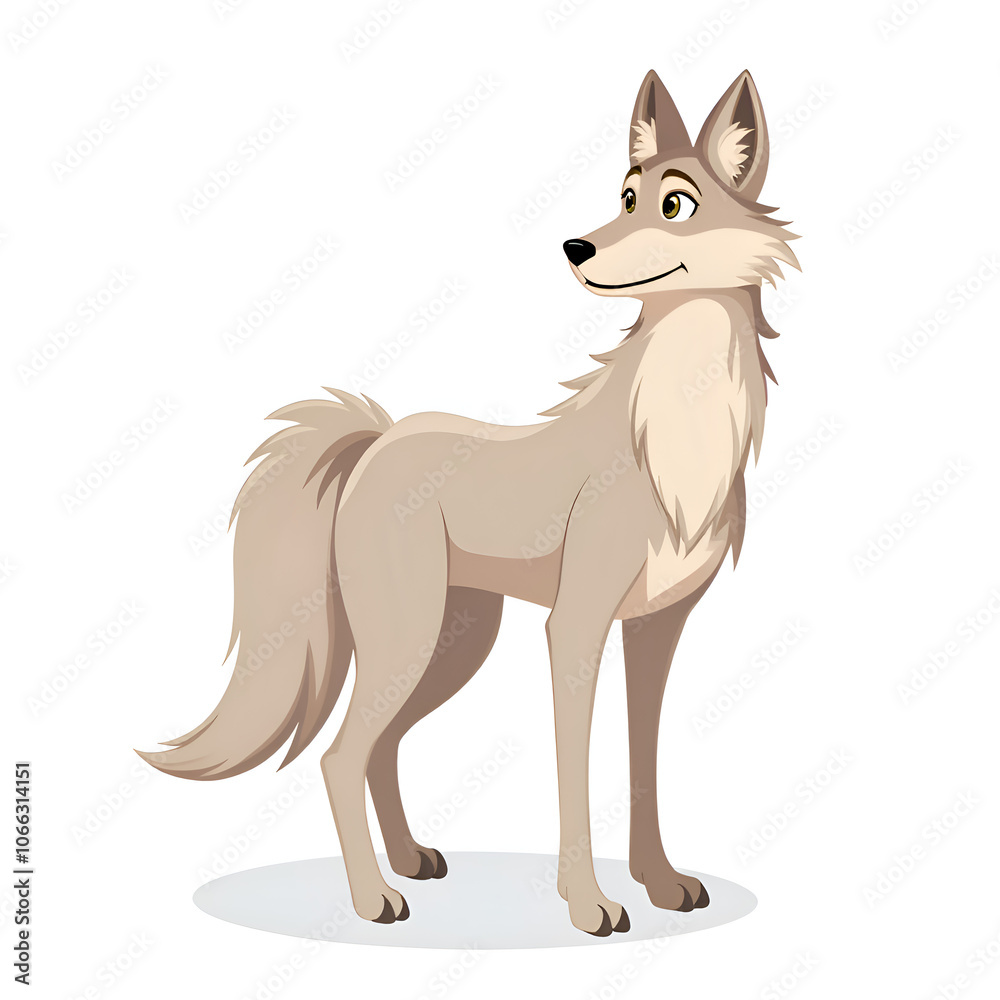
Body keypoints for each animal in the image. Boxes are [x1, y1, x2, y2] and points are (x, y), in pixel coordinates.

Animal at [138, 69, 798, 936]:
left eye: (675, 204)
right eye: (624, 197)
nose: (576, 248)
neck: (672, 442)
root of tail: (379, 439)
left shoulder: (655, 632)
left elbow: (642, 764)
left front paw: (660, 884)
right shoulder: (574, 629)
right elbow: (575, 772)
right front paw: (588, 904)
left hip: (451, 645)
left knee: (379, 748)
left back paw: (410, 860)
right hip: (412, 639)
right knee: (341, 755)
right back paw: (374, 898)